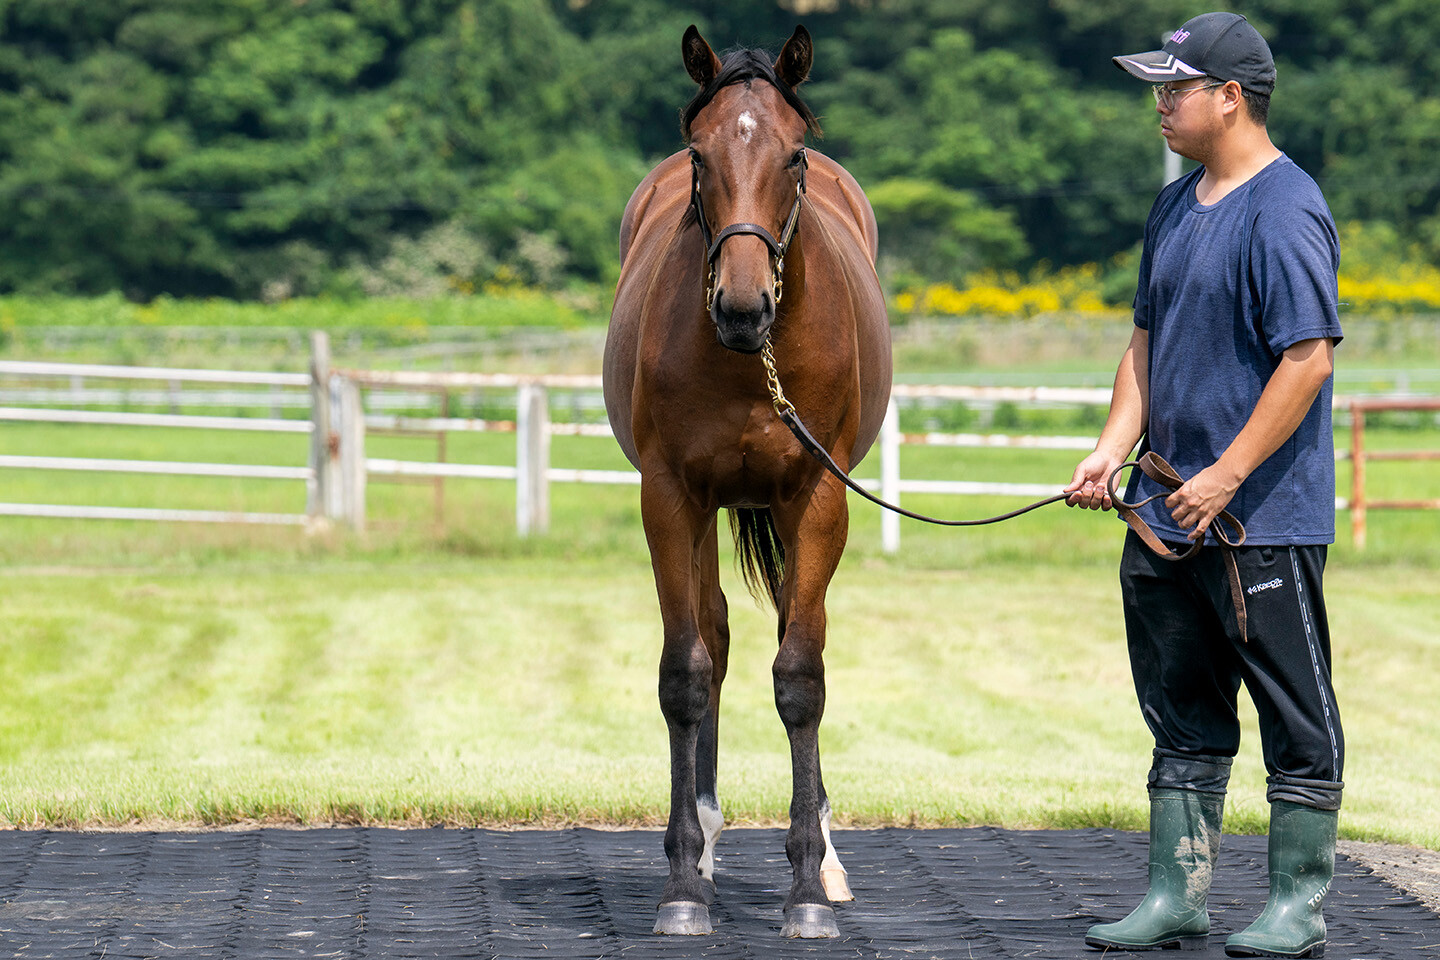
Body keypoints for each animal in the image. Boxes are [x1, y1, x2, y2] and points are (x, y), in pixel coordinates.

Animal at [599, 22, 887, 938]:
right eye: (701, 152)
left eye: (793, 156)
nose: (741, 305)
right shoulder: (670, 498)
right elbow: (686, 673)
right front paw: (684, 886)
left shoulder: (819, 500)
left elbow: (801, 677)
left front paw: (807, 891)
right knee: (717, 639)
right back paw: (705, 842)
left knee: (799, 636)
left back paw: (823, 857)